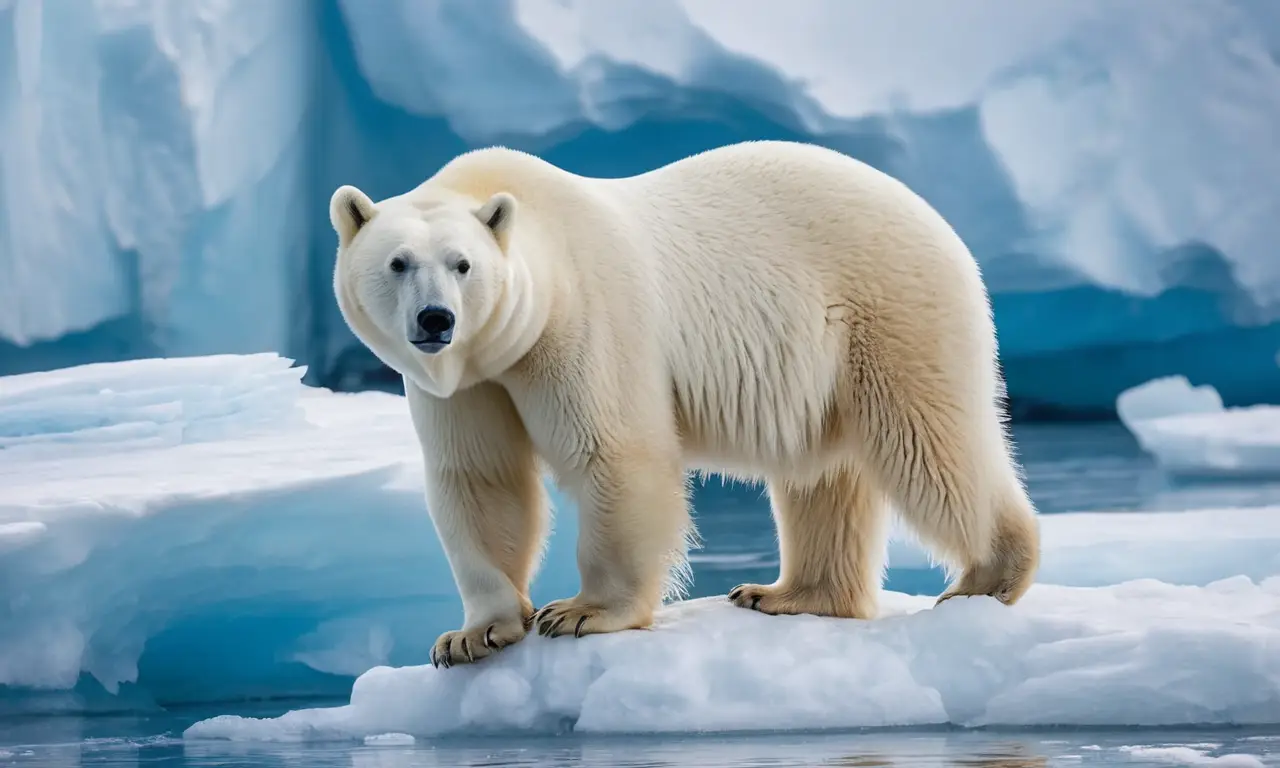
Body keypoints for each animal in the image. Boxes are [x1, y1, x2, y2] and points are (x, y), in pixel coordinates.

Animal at [329, 140, 1041, 668]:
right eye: (397, 263)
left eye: (463, 264)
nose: (436, 319)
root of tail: (933, 216)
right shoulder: (470, 382)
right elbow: (481, 479)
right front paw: (471, 635)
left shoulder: (586, 319)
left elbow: (615, 453)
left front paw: (582, 611)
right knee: (824, 473)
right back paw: (788, 594)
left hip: (890, 311)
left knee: (926, 444)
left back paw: (989, 575)